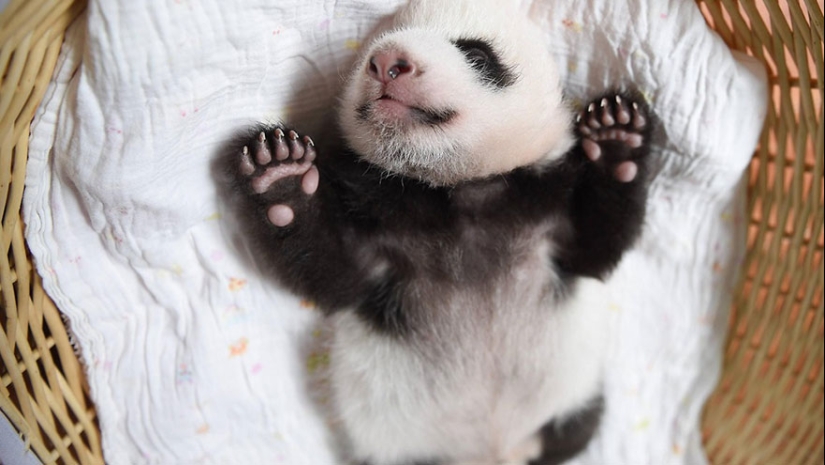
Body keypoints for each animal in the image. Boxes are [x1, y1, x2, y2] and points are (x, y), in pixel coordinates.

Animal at [222, 0, 652, 464]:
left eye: (477, 55)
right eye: (369, 53)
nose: (388, 62)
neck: (457, 189)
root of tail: (495, 452)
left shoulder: (544, 204)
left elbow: (594, 249)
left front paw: (615, 135)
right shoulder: (381, 221)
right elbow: (336, 274)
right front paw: (280, 176)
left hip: (570, 398)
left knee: (573, 432)